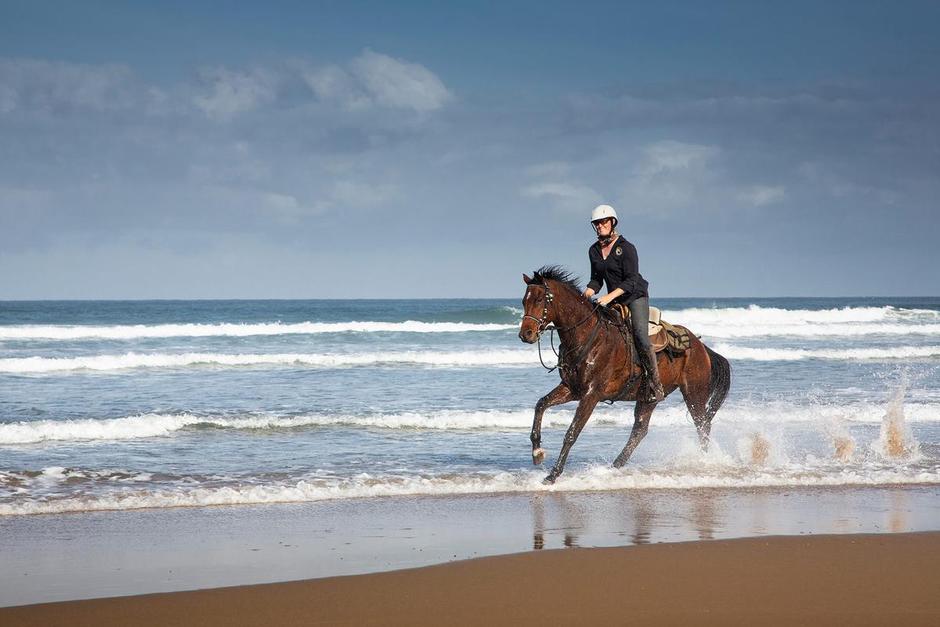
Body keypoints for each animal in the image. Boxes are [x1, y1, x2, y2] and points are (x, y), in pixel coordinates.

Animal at [516, 264, 732, 486]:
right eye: (524, 301)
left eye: (540, 300)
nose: (526, 335)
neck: (586, 337)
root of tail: (701, 346)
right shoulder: (572, 389)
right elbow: (541, 404)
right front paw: (537, 452)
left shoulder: (591, 395)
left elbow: (572, 432)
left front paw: (553, 475)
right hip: (648, 398)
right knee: (640, 430)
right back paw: (615, 465)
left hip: (694, 393)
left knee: (702, 425)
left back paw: (703, 462)